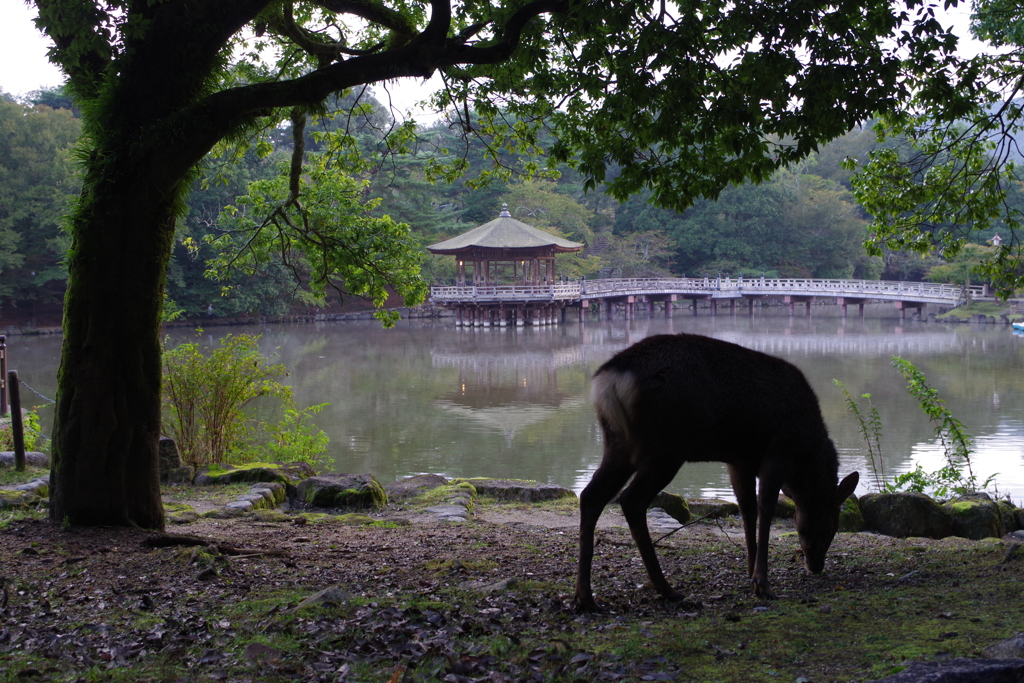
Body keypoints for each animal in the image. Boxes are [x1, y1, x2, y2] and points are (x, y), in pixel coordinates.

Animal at [577, 333, 856, 610]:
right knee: (631, 500)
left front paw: (750, 572)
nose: (816, 565)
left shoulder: (739, 460)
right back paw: (668, 590)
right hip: (666, 447)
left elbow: (747, 509)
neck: (805, 459)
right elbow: (766, 509)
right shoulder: (779, 450)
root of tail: (611, 378)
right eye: (830, 525)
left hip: (620, 443)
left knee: (591, 496)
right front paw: (763, 584)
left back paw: (585, 596)